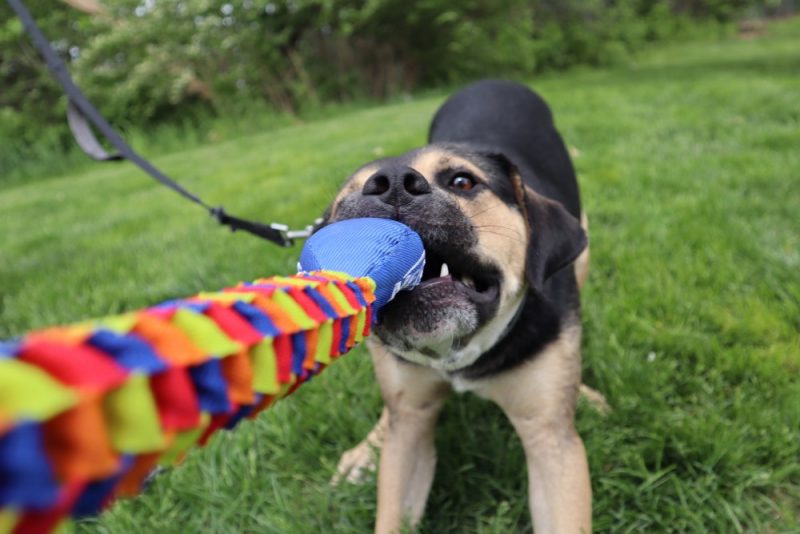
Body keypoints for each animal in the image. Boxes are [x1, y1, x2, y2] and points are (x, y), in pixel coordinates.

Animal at [320, 80, 592, 534]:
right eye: (343, 206)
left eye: (463, 181)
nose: (391, 183)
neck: (460, 351)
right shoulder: (411, 426)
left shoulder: (550, 439)